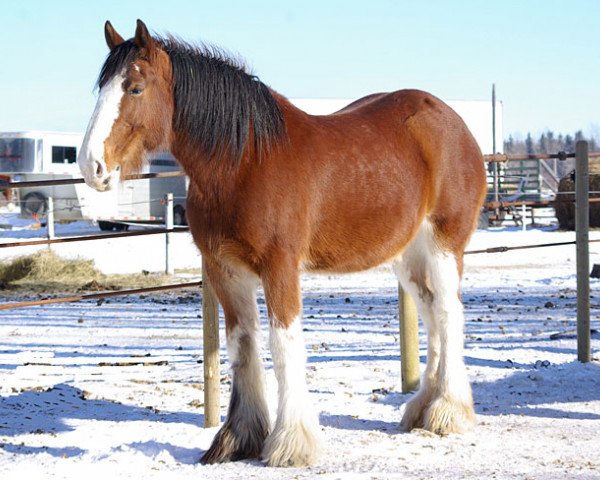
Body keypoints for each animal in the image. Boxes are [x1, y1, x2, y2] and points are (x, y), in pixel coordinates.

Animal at [76, 19, 488, 468]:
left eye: (134, 88)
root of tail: (453, 122)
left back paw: (448, 411)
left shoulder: (280, 266)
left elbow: (284, 343)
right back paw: (421, 409)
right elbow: (242, 344)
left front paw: (290, 443)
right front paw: (237, 438)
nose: (91, 165)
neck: (243, 163)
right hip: (407, 256)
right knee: (431, 314)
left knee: (448, 313)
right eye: (100, 88)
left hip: (443, 245)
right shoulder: (225, 270)